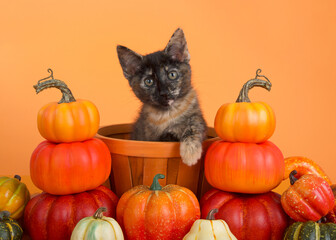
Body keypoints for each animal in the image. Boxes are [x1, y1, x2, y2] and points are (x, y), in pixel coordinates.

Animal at [117, 28, 207, 166]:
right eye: (149, 81)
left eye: (172, 74)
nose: (164, 92)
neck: (167, 114)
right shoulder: (148, 136)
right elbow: (165, 136)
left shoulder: (197, 116)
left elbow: (193, 127)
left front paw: (190, 152)